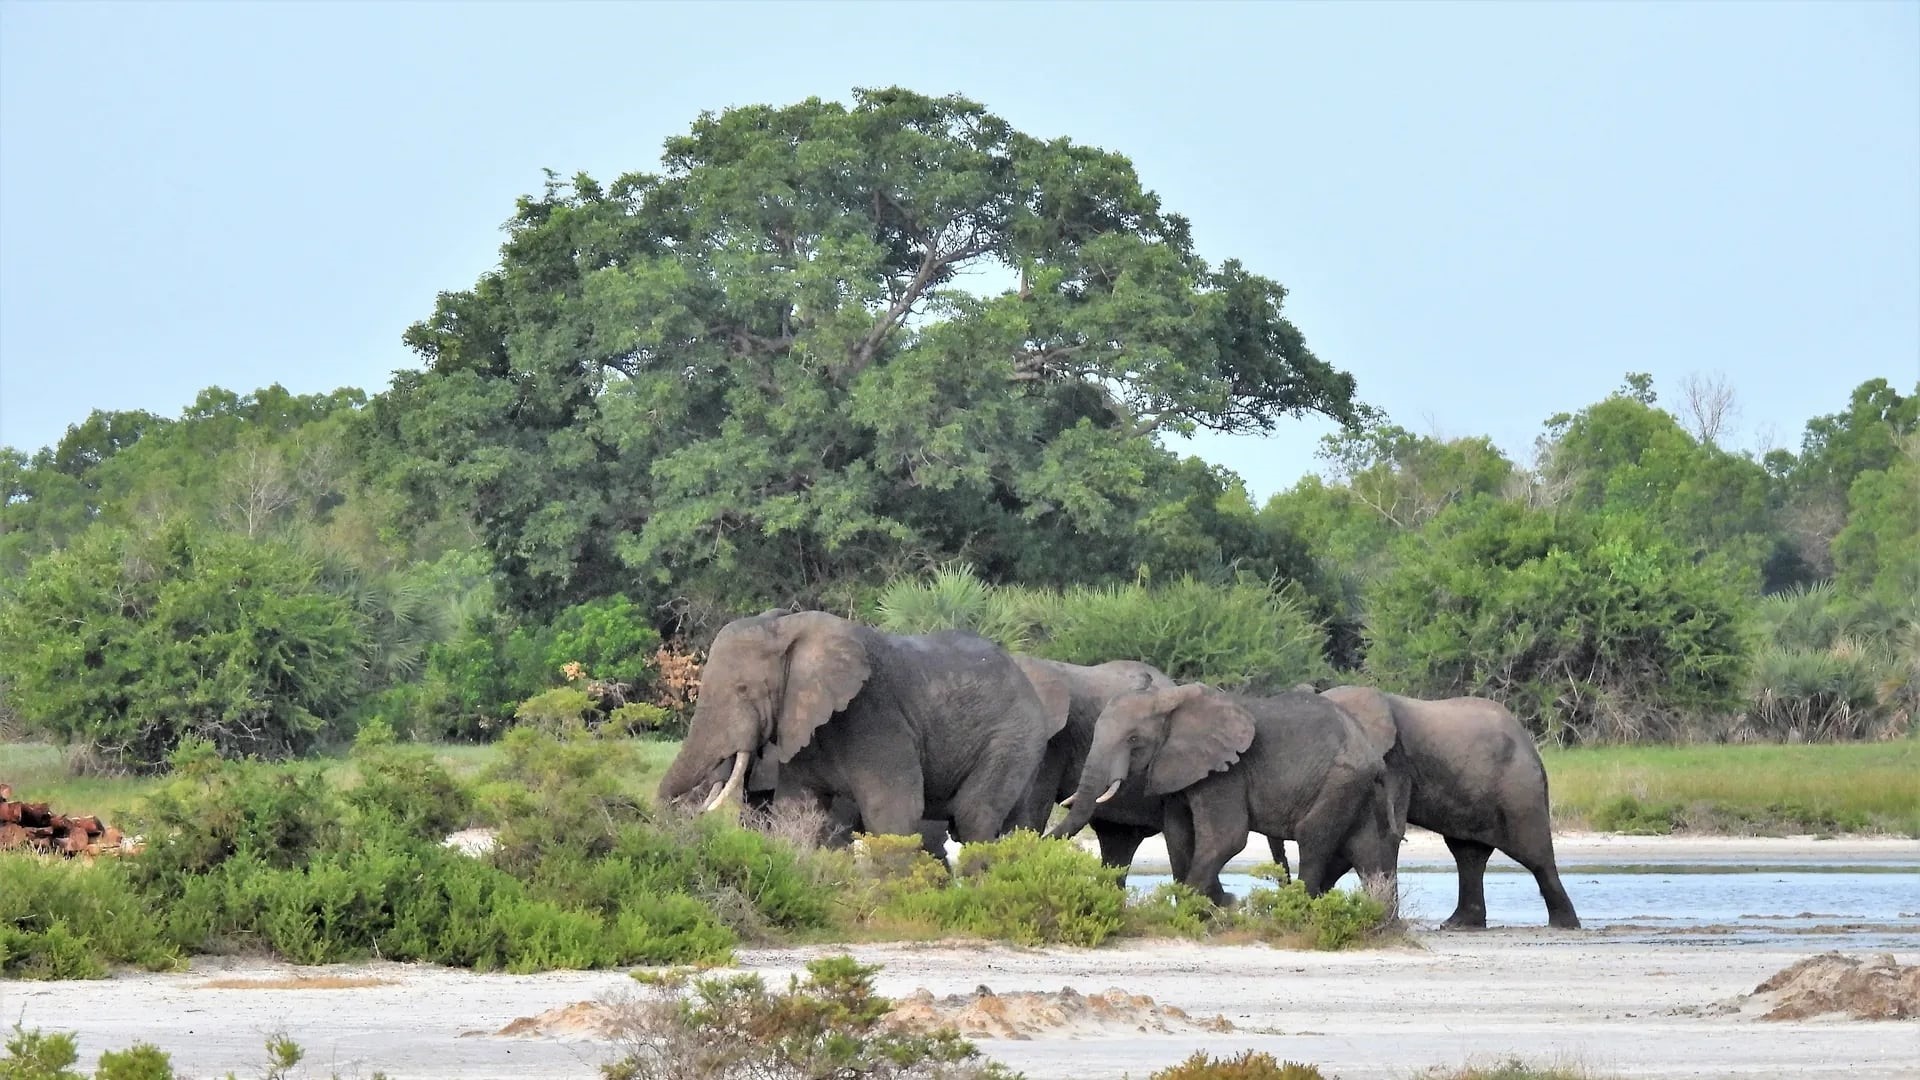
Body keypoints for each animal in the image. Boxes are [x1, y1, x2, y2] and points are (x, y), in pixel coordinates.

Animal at [652, 611, 1059, 845]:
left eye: (742, 689)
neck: (786, 625)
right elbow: (796, 810)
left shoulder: (874, 715)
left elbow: (893, 809)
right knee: (1013, 824)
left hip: (1011, 737)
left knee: (974, 817)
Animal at [1044, 680, 1405, 899]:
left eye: (1134, 739)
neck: (1174, 701)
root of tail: (1372, 753)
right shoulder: (1180, 768)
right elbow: (1178, 835)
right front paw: (1212, 907)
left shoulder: (1227, 772)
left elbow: (1225, 838)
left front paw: (1208, 907)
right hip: (1355, 788)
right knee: (1365, 849)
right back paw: (1378, 921)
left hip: (1340, 779)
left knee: (1313, 838)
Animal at [1320, 680, 1574, 926]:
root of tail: (1532, 750)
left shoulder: (1393, 763)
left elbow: (1382, 834)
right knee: (1468, 855)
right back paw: (1458, 924)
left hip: (1519, 789)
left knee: (1535, 856)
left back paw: (1564, 924)